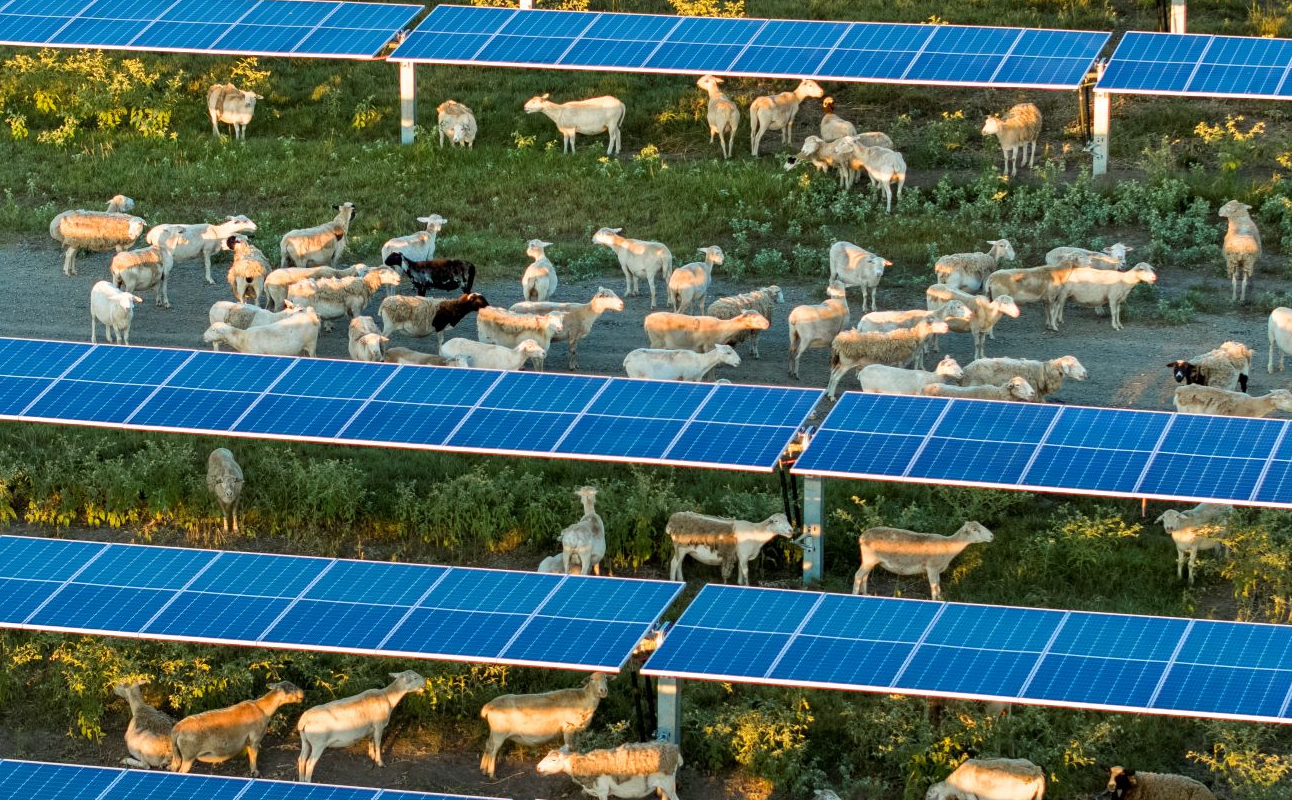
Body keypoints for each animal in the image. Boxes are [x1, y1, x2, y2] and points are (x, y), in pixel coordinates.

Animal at [170, 681, 303, 776]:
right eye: (291, 688)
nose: (303, 693)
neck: (263, 708)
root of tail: (176, 729)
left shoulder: (248, 741)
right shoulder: (255, 739)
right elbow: (254, 757)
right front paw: (255, 773)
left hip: (178, 756)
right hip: (188, 756)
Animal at [296, 670, 425, 783]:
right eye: (415, 678)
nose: (424, 682)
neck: (388, 697)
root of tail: (304, 720)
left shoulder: (371, 727)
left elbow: (371, 740)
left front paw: (371, 755)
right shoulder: (379, 725)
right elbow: (378, 743)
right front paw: (380, 762)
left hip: (305, 740)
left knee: (301, 759)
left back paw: (301, 780)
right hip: (319, 742)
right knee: (309, 763)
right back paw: (308, 781)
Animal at [478, 672, 609, 778]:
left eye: (606, 679)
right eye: (592, 679)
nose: (603, 690)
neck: (584, 699)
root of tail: (489, 705)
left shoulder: (577, 730)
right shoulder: (568, 727)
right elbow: (570, 746)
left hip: (494, 731)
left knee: (488, 745)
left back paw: (483, 770)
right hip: (499, 732)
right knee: (493, 749)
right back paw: (491, 774)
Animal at [536, 742, 682, 800]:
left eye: (554, 760)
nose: (538, 768)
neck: (585, 765)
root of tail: (674, 749)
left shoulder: (602, 791)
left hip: (668, 783)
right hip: (663, 785)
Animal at [854, 521, 994, 600]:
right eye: (975, 529)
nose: (992, 536)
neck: (950, 546)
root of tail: (861, 537)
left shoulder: (937, 570)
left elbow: (938, 585)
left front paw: (941, 598)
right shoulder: (932, 568)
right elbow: (933, 586)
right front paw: (935, 600)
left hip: (870, 560)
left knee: (864, 576)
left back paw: (865, 594)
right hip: (869, 558)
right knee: (858, 575)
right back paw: (855, 594)